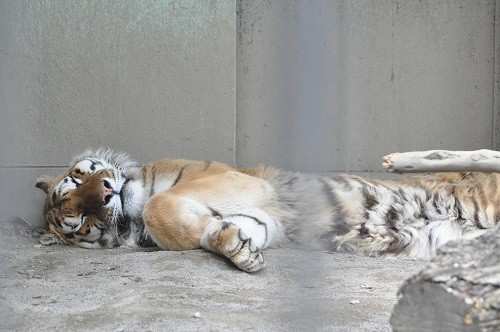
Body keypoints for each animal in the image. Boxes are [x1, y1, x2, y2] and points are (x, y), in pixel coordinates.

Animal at [35, 149, 496, 272]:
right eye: (80, 219)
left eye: (79, 176)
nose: (106, 192)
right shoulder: (267, 218)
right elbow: (227, 229)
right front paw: (237, 249)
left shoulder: (242, 181)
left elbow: (159, 205)